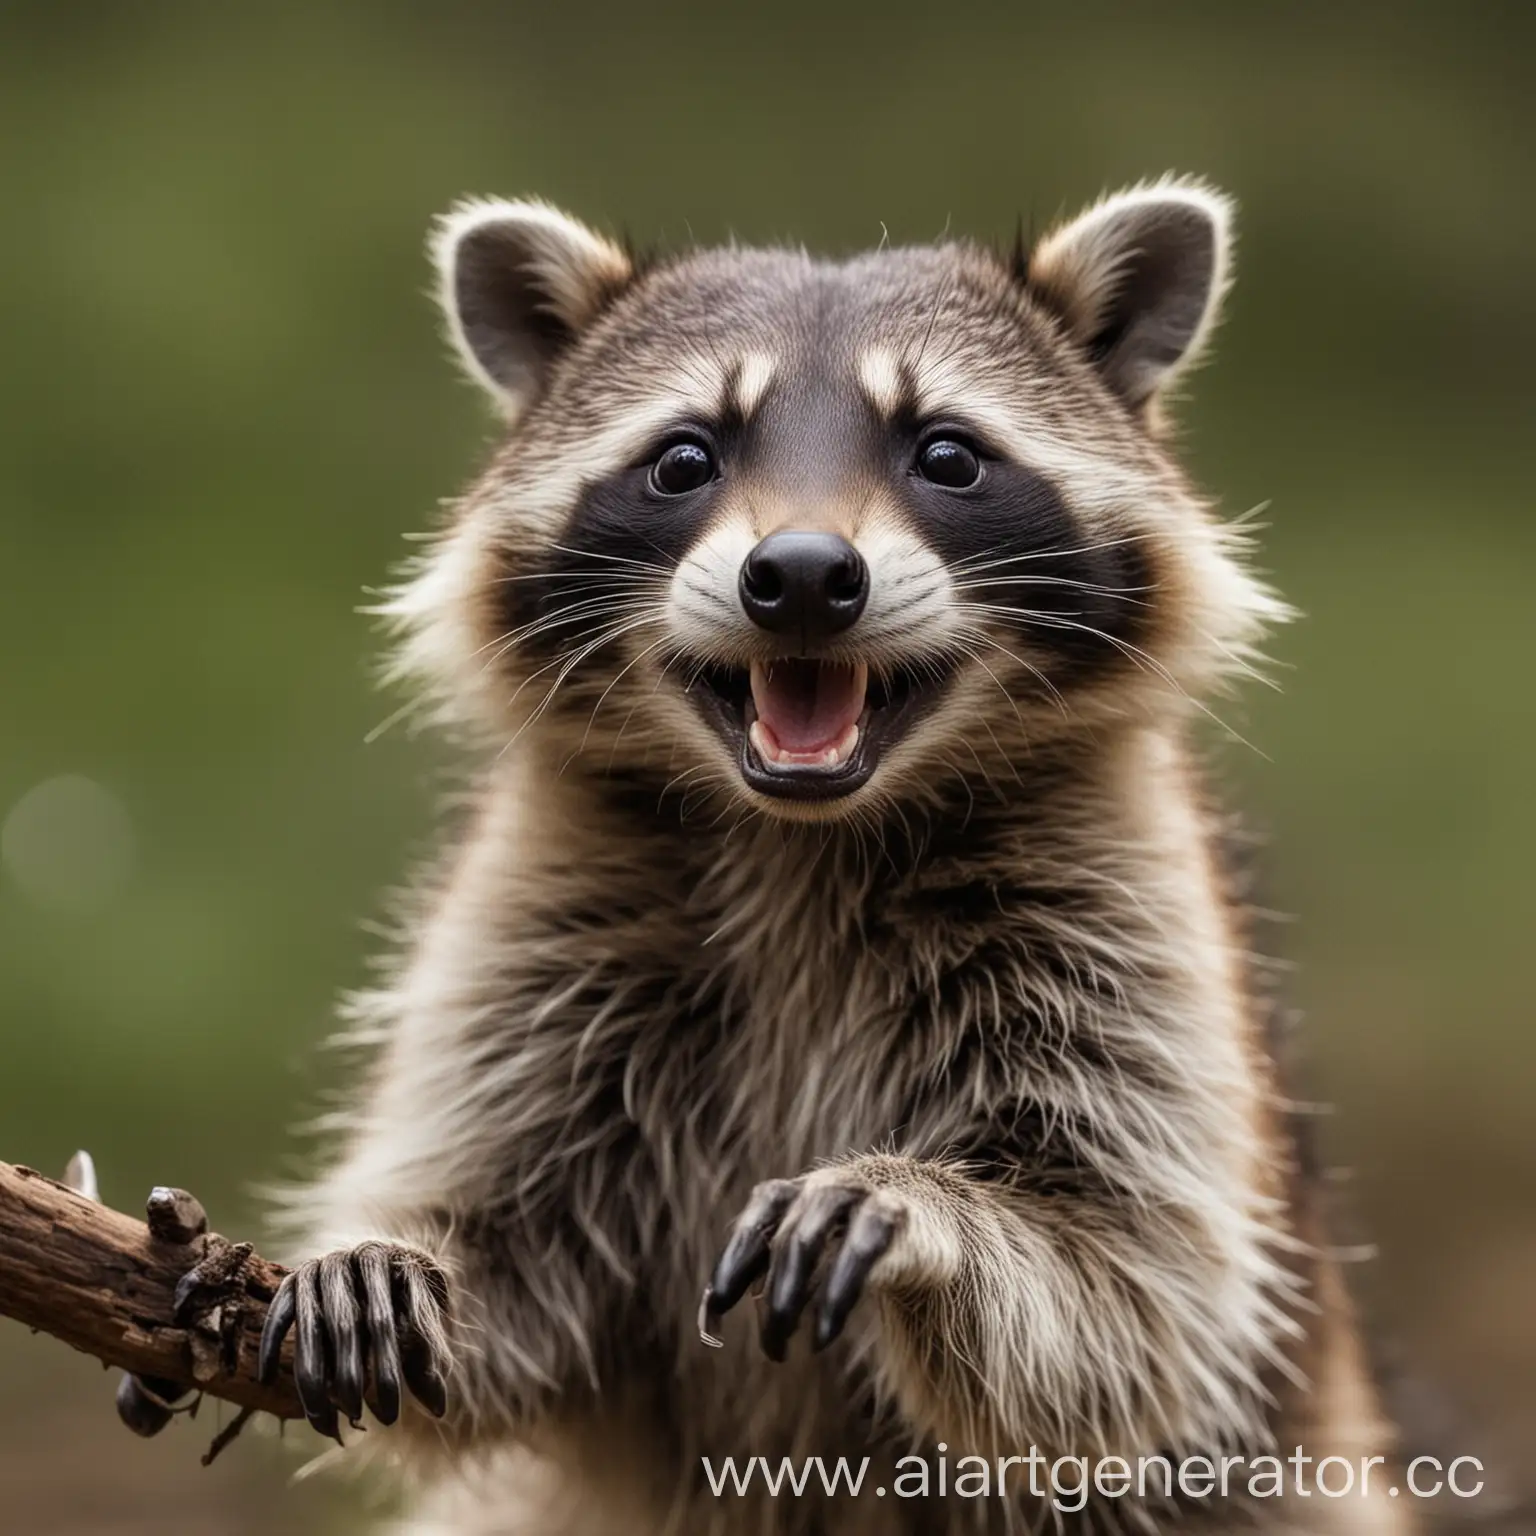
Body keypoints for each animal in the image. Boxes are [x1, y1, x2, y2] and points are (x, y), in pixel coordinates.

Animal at [251, 182, 1413, 1536]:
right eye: (685, 458)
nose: (803, 576)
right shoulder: (542, 910)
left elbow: (1137, 1309)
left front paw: (928, 1214)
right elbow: (511, 1268)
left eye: (947, 454)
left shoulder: (1126, 901)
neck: (805, 832)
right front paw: (410, 1257)